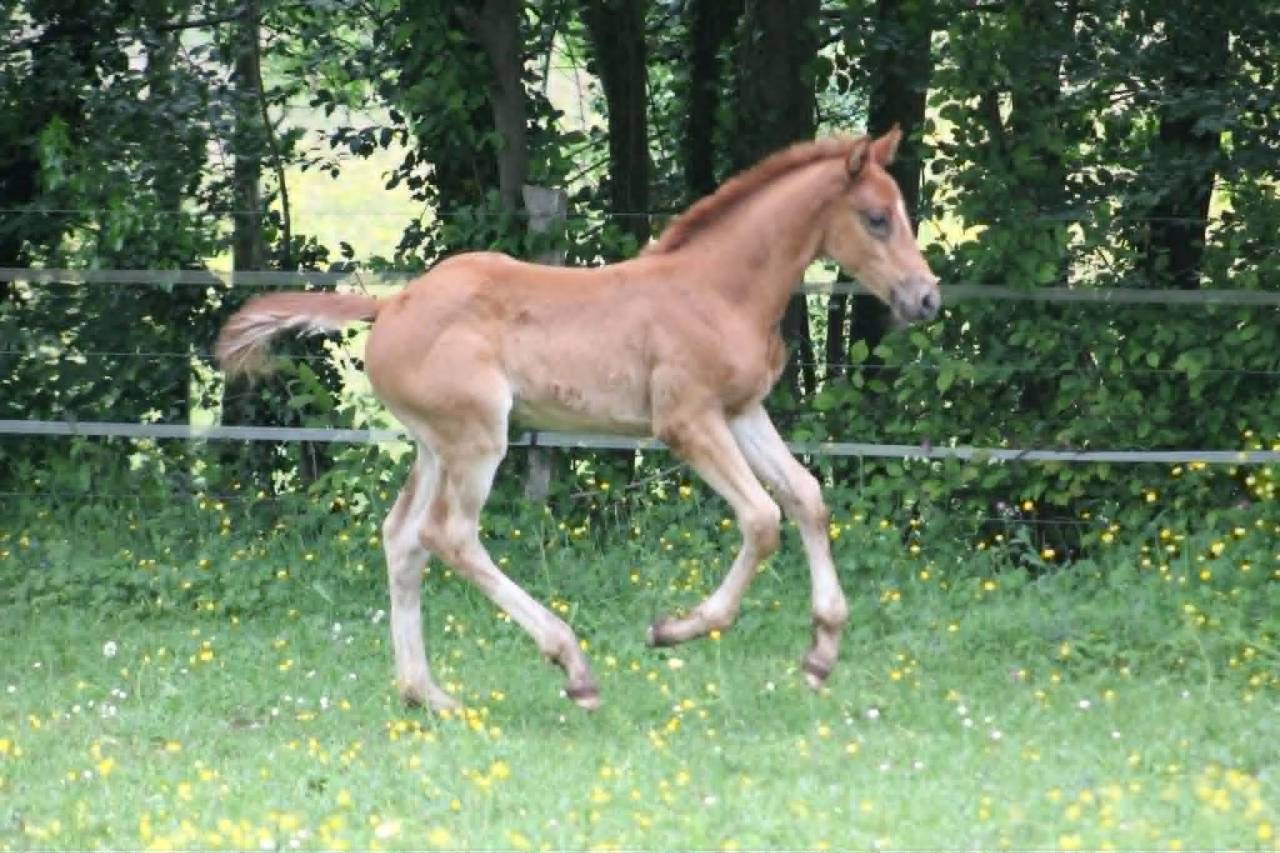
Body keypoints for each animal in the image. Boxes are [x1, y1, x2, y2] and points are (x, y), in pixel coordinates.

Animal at [216, 126, 941, 712]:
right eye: (877, 218)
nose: (927, 299)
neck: (719, 290)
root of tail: (390, 306)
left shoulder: (742, 411)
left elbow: (808, 498)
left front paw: (821, 653)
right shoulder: (687, 421)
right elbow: (762, 519)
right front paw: (674, 629)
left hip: (434, 446)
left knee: (403, 539)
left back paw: (428, 694)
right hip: (477, 439)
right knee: (450, 535)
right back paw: (573, 664)